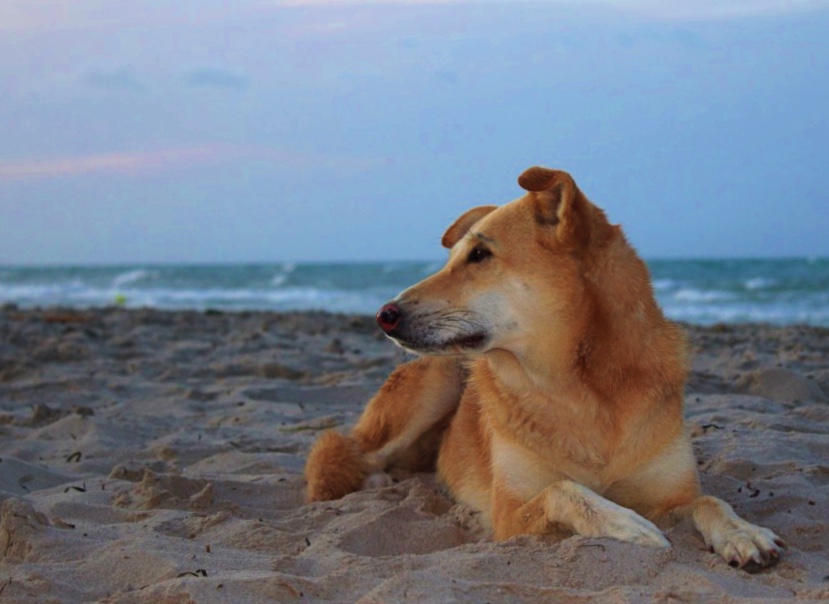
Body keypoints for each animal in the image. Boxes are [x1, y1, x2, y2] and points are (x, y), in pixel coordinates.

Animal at [304, 165, 784, 572]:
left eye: (480, 255)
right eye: (455, 257)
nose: (383, 314)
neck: (578, 387)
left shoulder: (672, 494)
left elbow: (710, 501)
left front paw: (742, 532)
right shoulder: (509, 514)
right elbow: (565, 490)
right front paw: (624, 523)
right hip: (435, 380)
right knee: (349, 453)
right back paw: (373, 480)